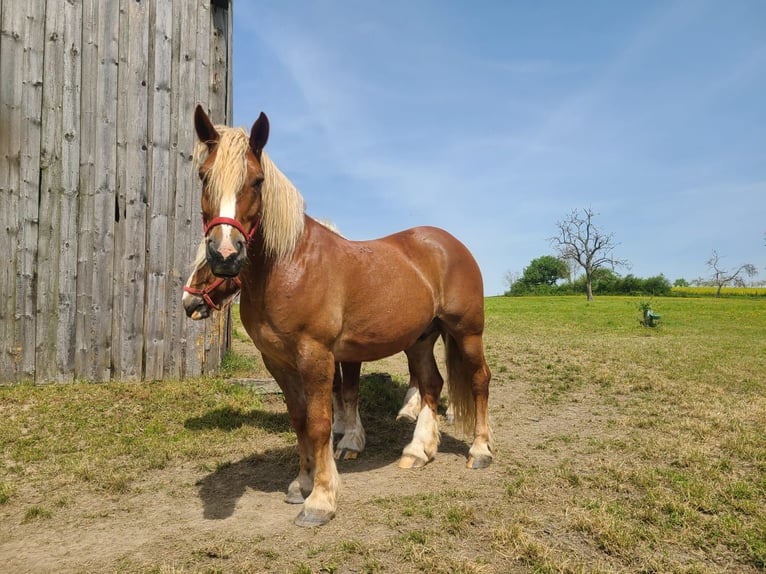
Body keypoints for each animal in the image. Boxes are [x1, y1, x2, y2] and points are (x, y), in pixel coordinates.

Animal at [189, 106, 496, 528]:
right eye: (204, 176)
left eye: (256, 180)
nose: (225, 254)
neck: (290, 264)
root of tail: (449, 244)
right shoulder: (278, 361)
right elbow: (299, 419)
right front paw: (301, 484)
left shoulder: (317, 356)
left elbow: (321, 423)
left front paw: (320, 499)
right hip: (420, 338)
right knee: (431, 384)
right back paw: (418, 451)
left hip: (467, 332)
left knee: (480, 379)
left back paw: (480, 450)